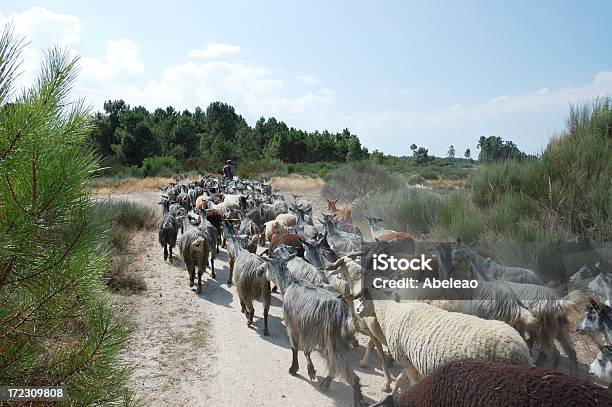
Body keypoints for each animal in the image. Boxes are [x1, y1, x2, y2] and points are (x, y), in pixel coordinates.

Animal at [260, 256, 366, 406]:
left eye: (266, 266)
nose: (261, 271)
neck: (289, 283)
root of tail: (345, 315)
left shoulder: (295, 326)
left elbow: (297, 348)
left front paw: (296, 369)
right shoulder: (308, 329)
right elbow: (306, 350)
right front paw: (310, 370)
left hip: (333, 339)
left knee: (345, 371)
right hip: (334, 341)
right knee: (335, 364)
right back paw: (325, 384)